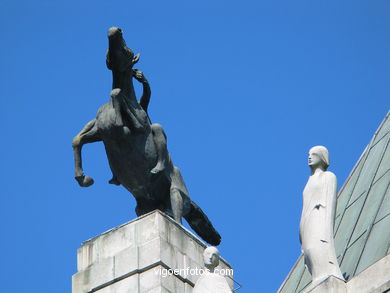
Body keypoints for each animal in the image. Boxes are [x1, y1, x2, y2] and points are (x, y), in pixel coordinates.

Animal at [72, 27, 221, 245]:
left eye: (128, 50)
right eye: (108, 54)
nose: (114, 30)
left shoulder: (132, 129)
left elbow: (118, 99)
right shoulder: (101, 134)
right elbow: (78, 140)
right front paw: (83, 178)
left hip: (176, 195)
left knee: (179, 219)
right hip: (145, 206)